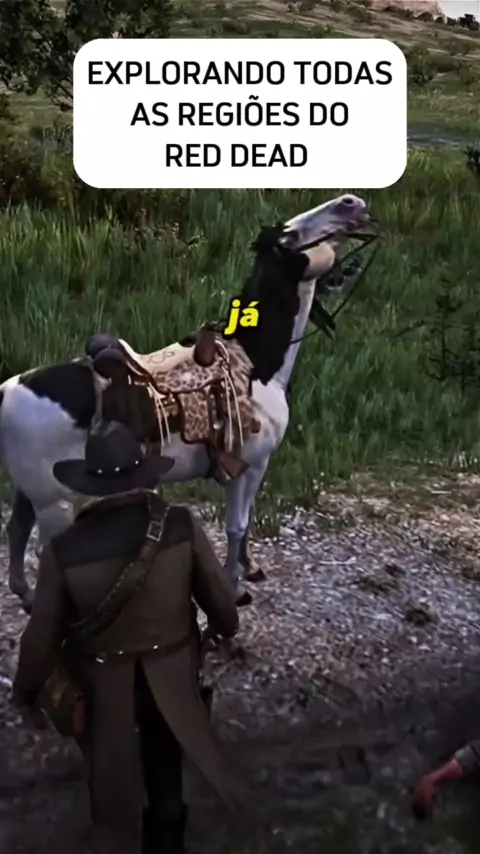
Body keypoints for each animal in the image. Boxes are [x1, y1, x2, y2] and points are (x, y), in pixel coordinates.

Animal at [0, 194, 373, 612]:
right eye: (290, 235)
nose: (351, 202)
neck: (256, 364)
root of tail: (7, 389)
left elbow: (245, 524)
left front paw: (250, 568)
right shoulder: (250, 465)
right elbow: (237, 526)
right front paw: (235, 587)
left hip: (32, 491)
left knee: (17, 530)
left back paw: (26, 595)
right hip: (55, 503)